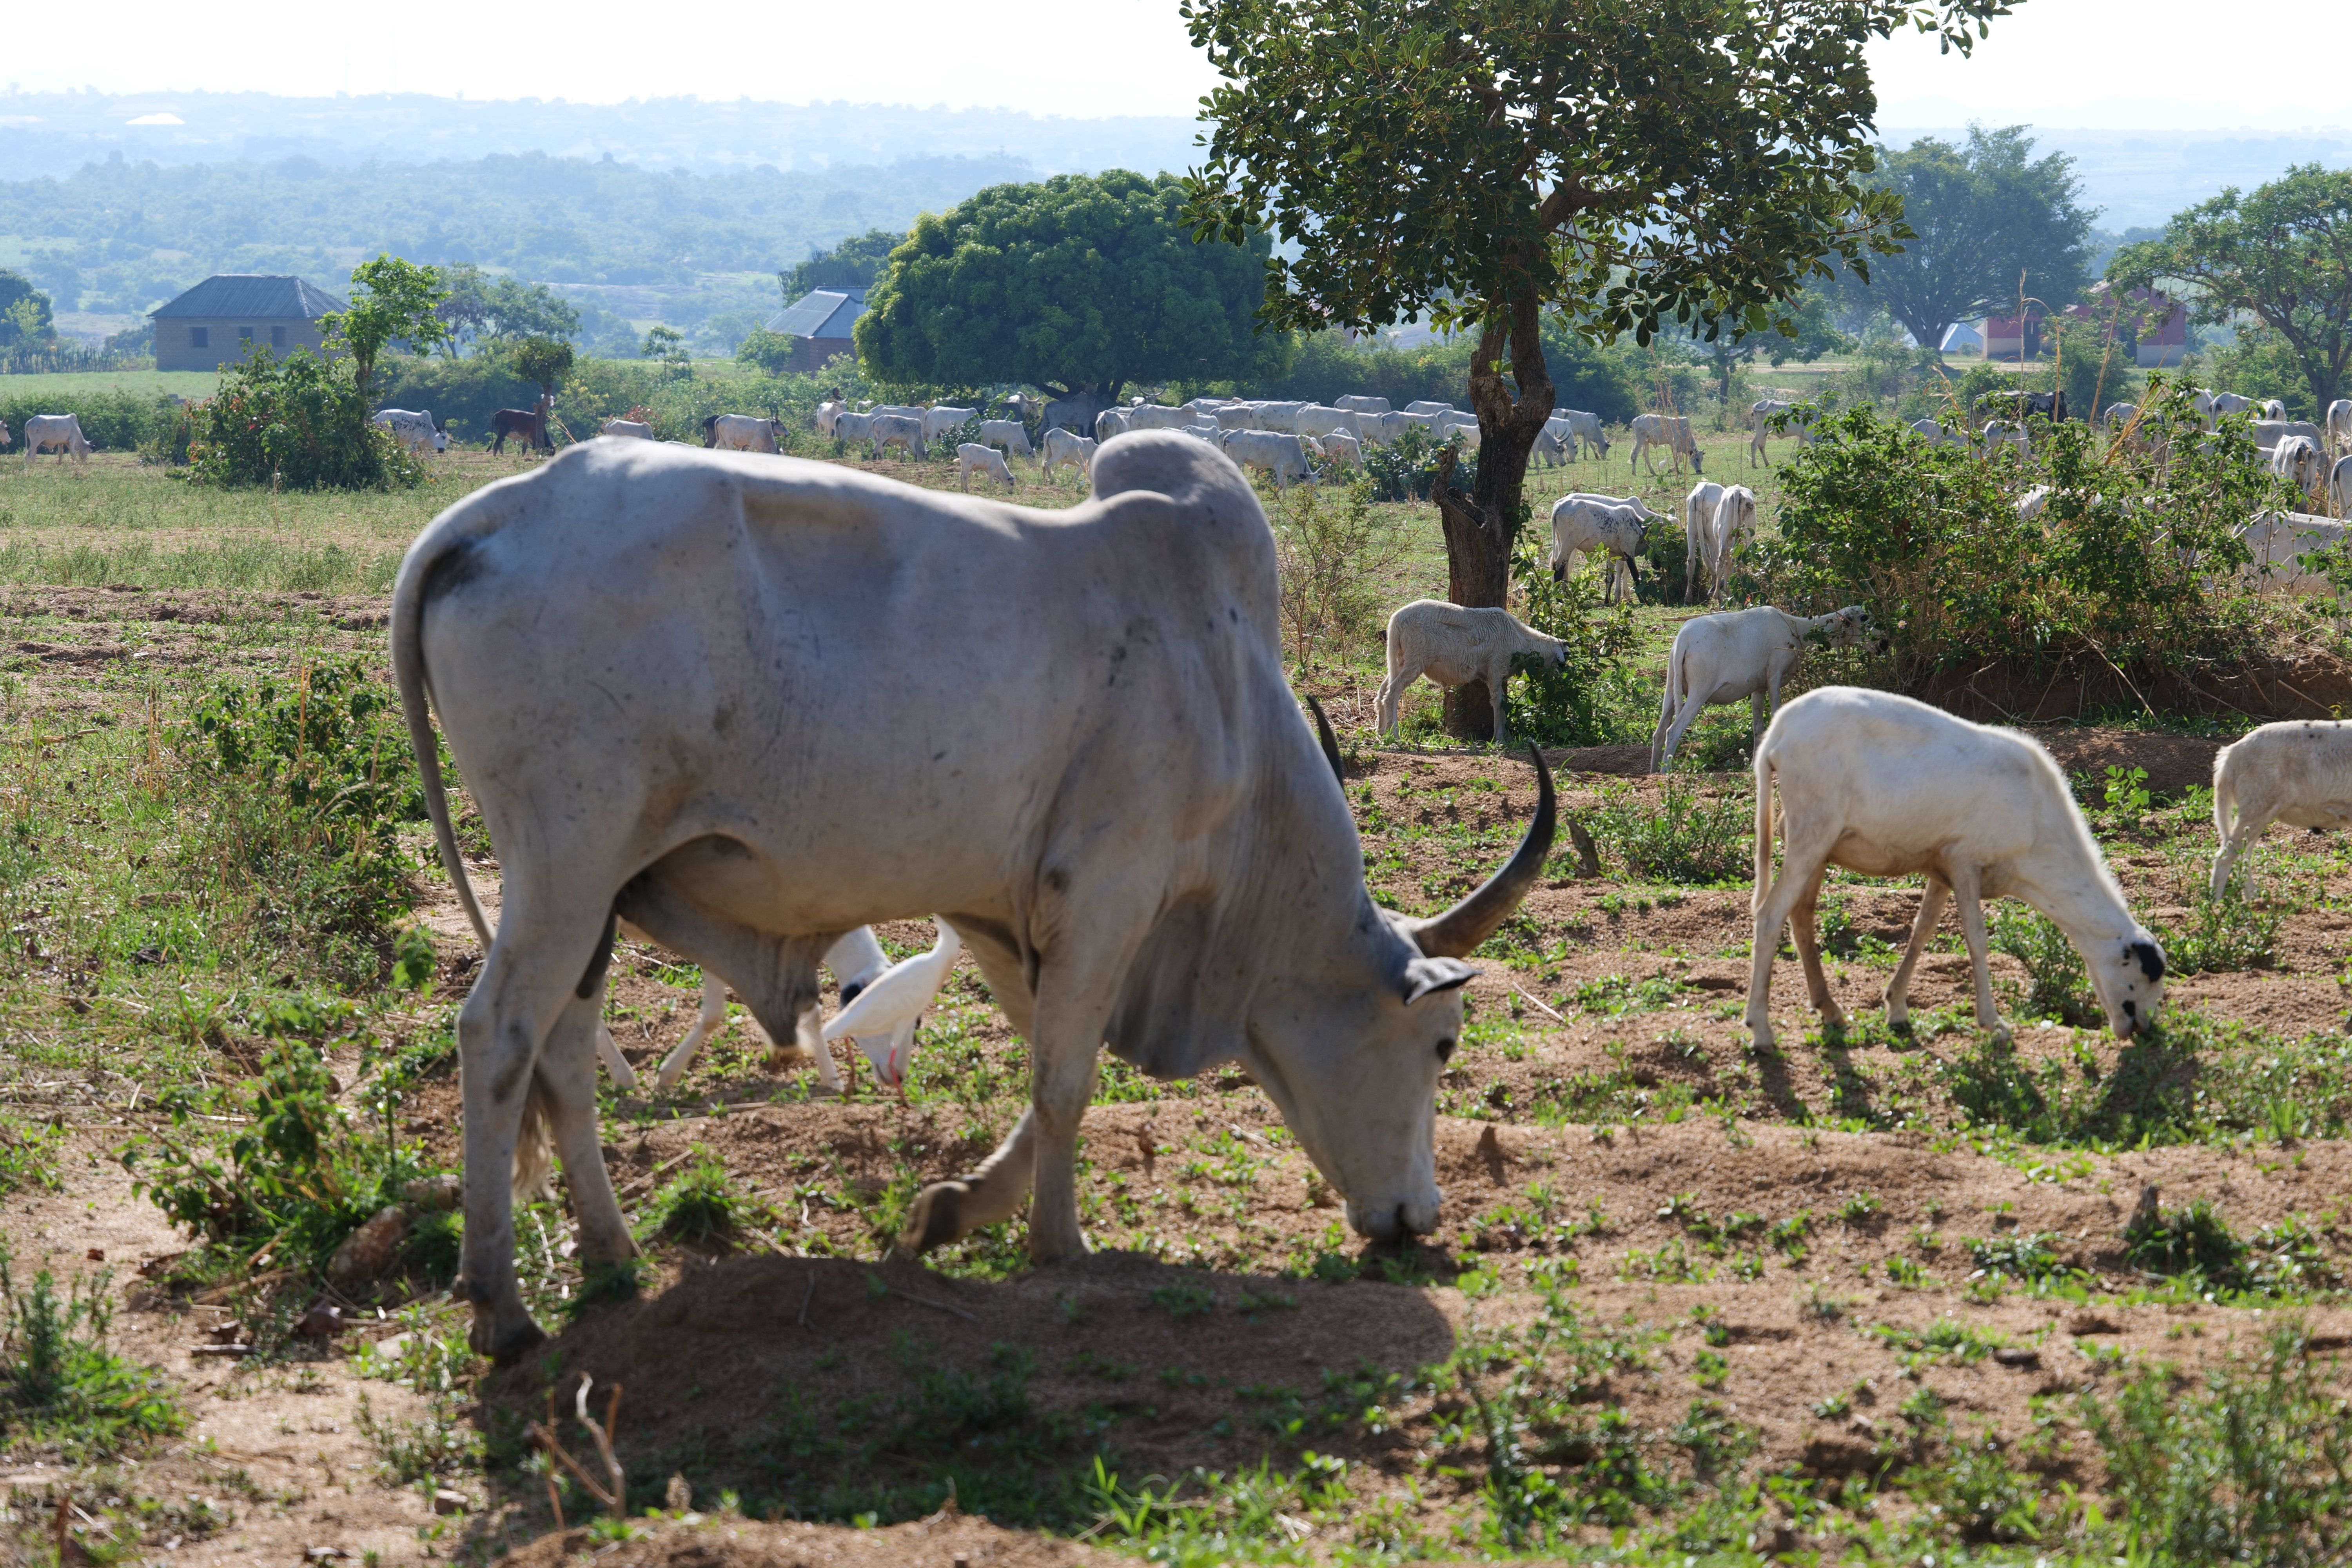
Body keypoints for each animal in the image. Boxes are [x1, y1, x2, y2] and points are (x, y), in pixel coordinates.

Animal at [22, 413, 92, 467]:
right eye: (89, 450)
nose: (86, 462)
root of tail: (31, 421)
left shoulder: (61, 443)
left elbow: (61, 454)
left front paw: (60, 464)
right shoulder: (72, 441)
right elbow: (73, 454)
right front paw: (75, 464)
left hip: (37, 444)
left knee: (33, 456)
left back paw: (34, 466)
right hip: (35, 442)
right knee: (29, 455)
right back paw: (29, 467)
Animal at [489, 396, 553, 456]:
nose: (552, 454)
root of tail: (499, 413)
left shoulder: (527, 438)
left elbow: (524, 450)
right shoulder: (534, 438)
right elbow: (535, 448)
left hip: (502, 435)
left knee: (501, 447)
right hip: (502, 433)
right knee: (496, 445)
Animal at [956, 442, 1016, 493]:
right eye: (1012, 484)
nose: (1011, 493)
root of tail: (962, 446)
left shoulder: (987, 471)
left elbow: (993, 482)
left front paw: (994, 491)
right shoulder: (991, 471)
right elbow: (991, 482)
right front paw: (990, 492)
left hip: (963, 466)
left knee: (961, 477)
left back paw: (962, 490)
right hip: (967, 466)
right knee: (965, 477)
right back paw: (967, 491)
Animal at [1374, 600, 1569, 745]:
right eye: (1561, 662)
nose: (1563, 679)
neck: (1521, 641)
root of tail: (1396, 620)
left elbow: (1503, 703)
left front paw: (1507, 735)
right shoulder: (1496, 669)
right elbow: (1498, 703)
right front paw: (1500, 738)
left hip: (1401, 658)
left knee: (1383, 690)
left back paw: (1381, 730)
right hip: (1417, 658)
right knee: (1393, 692)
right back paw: (1395, 734)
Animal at [1630, 412, 1702, 475]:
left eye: (1702, 459)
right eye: (1697, 459)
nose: (1700, 471)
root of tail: (1637, 419)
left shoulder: (1679, 448)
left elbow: (1681, 459)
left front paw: (1672, 470)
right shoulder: (1674, 445)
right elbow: (1676, 458)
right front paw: (1676, 470)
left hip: (1646, 442)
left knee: (1646, 455)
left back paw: (1653, 472)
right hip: (1640, 440)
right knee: (1635, 454)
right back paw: (1634, 473)